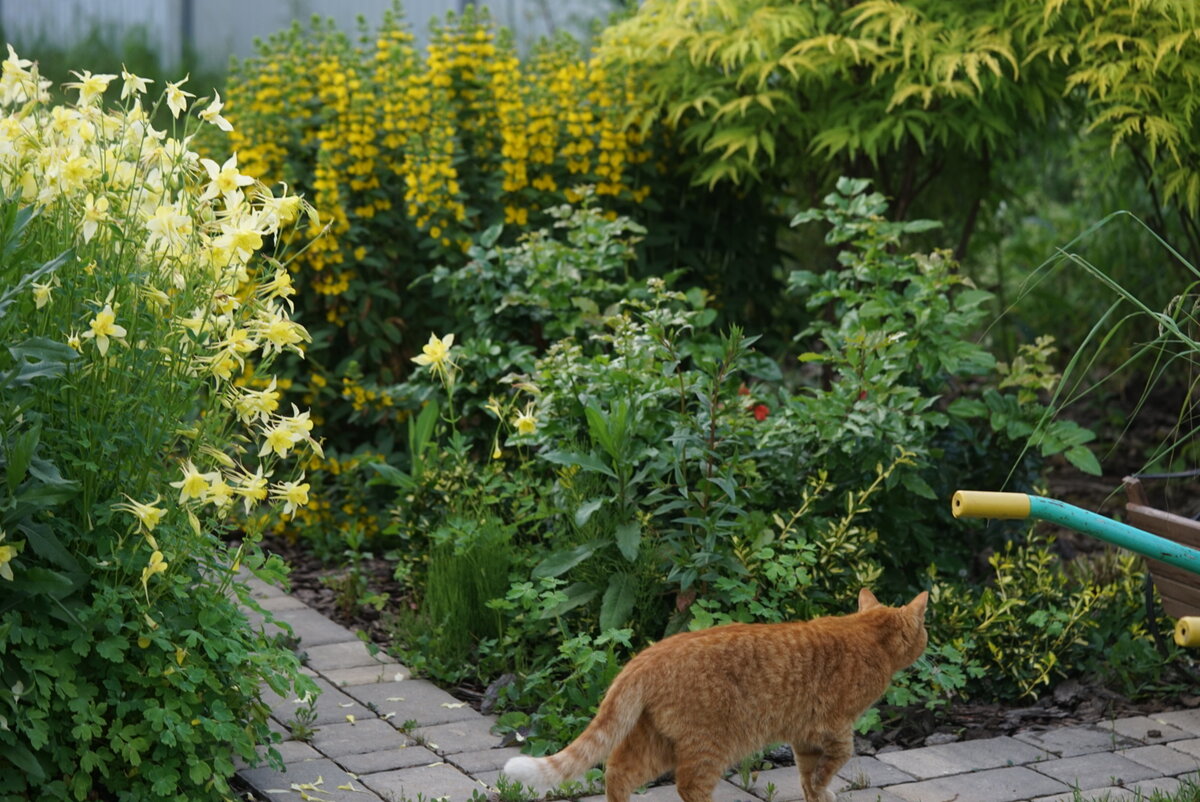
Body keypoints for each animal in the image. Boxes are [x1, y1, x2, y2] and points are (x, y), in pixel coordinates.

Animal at [501, 585, 931, 797]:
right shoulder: (836, 727)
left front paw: (818, 796)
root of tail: (645, 656)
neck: (866, 635)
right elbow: (835, 762)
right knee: (688, 785)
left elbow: (810, 777)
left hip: (657, 740)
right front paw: (824, 788)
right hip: (710, 745)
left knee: (618, 771)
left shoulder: (804, 736)